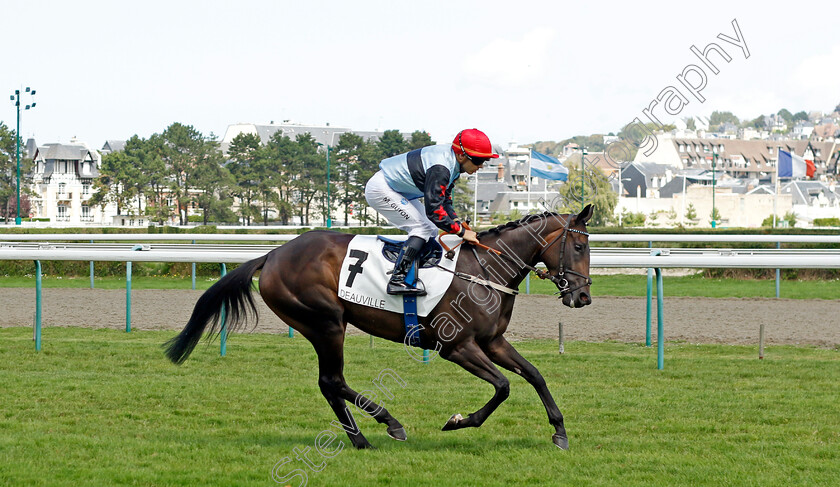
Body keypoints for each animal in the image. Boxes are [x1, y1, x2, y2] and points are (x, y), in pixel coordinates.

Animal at [164, 204, 592, 452]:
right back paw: (387, 425)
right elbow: (503, 387)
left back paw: (362, 438)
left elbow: (534, 375)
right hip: (326, 323)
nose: (584, 297)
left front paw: (559, 432)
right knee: (332, 381)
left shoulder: (493, 341)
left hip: (320, 326)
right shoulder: (457, 347)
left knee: (329, 384)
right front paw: (458, 421)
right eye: (579, 247)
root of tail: (271, 255)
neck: (485, 271)